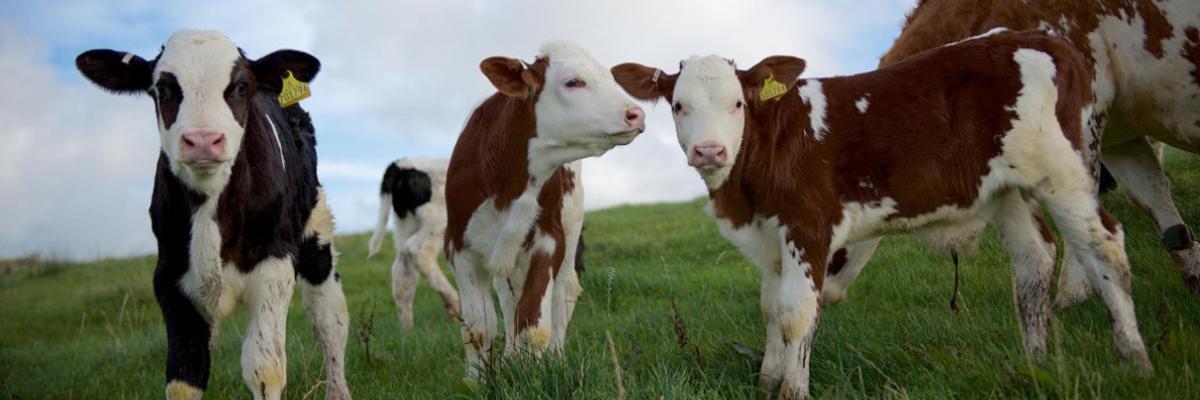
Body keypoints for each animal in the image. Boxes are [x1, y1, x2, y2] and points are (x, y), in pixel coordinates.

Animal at [76, 30, 350, 400]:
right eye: (162, 88)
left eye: (241, 86)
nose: (203, 140)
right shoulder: (171, 278)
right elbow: (185, 376)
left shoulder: (274, 266)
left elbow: (265, 369)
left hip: (315, 233)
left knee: (330, 322)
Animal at [367, 157, 461, 330]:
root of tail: (401, 164)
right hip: (439, 221)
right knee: (419, 250)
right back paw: (454, 305)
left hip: (405, 225)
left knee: (402, 269)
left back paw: (407, 330)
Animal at [445, 41, 645, 380]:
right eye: (573, 82)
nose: (636, 113)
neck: (509, 181)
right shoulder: (459, 245)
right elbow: (478, 327)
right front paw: (477, 379)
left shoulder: (549, 238)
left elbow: (534, 322)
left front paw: (535, 373)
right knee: (508, 297)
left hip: (571, 232)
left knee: (562, 294)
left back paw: (554, 357)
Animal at [614, 30, 1150, 399]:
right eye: (678, 105)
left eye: (738, 103)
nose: (709, 151)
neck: (745, 195)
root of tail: (1043, 39)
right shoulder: (771, 237)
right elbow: (771, 308)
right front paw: (767, 381)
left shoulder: (809, 225)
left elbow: (795, 314)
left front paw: (792, 390)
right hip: (1005, 191)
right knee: (1034, 259)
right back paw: (1034, 362)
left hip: (1060, 171)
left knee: (1106, 245)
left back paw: (1135, 360)